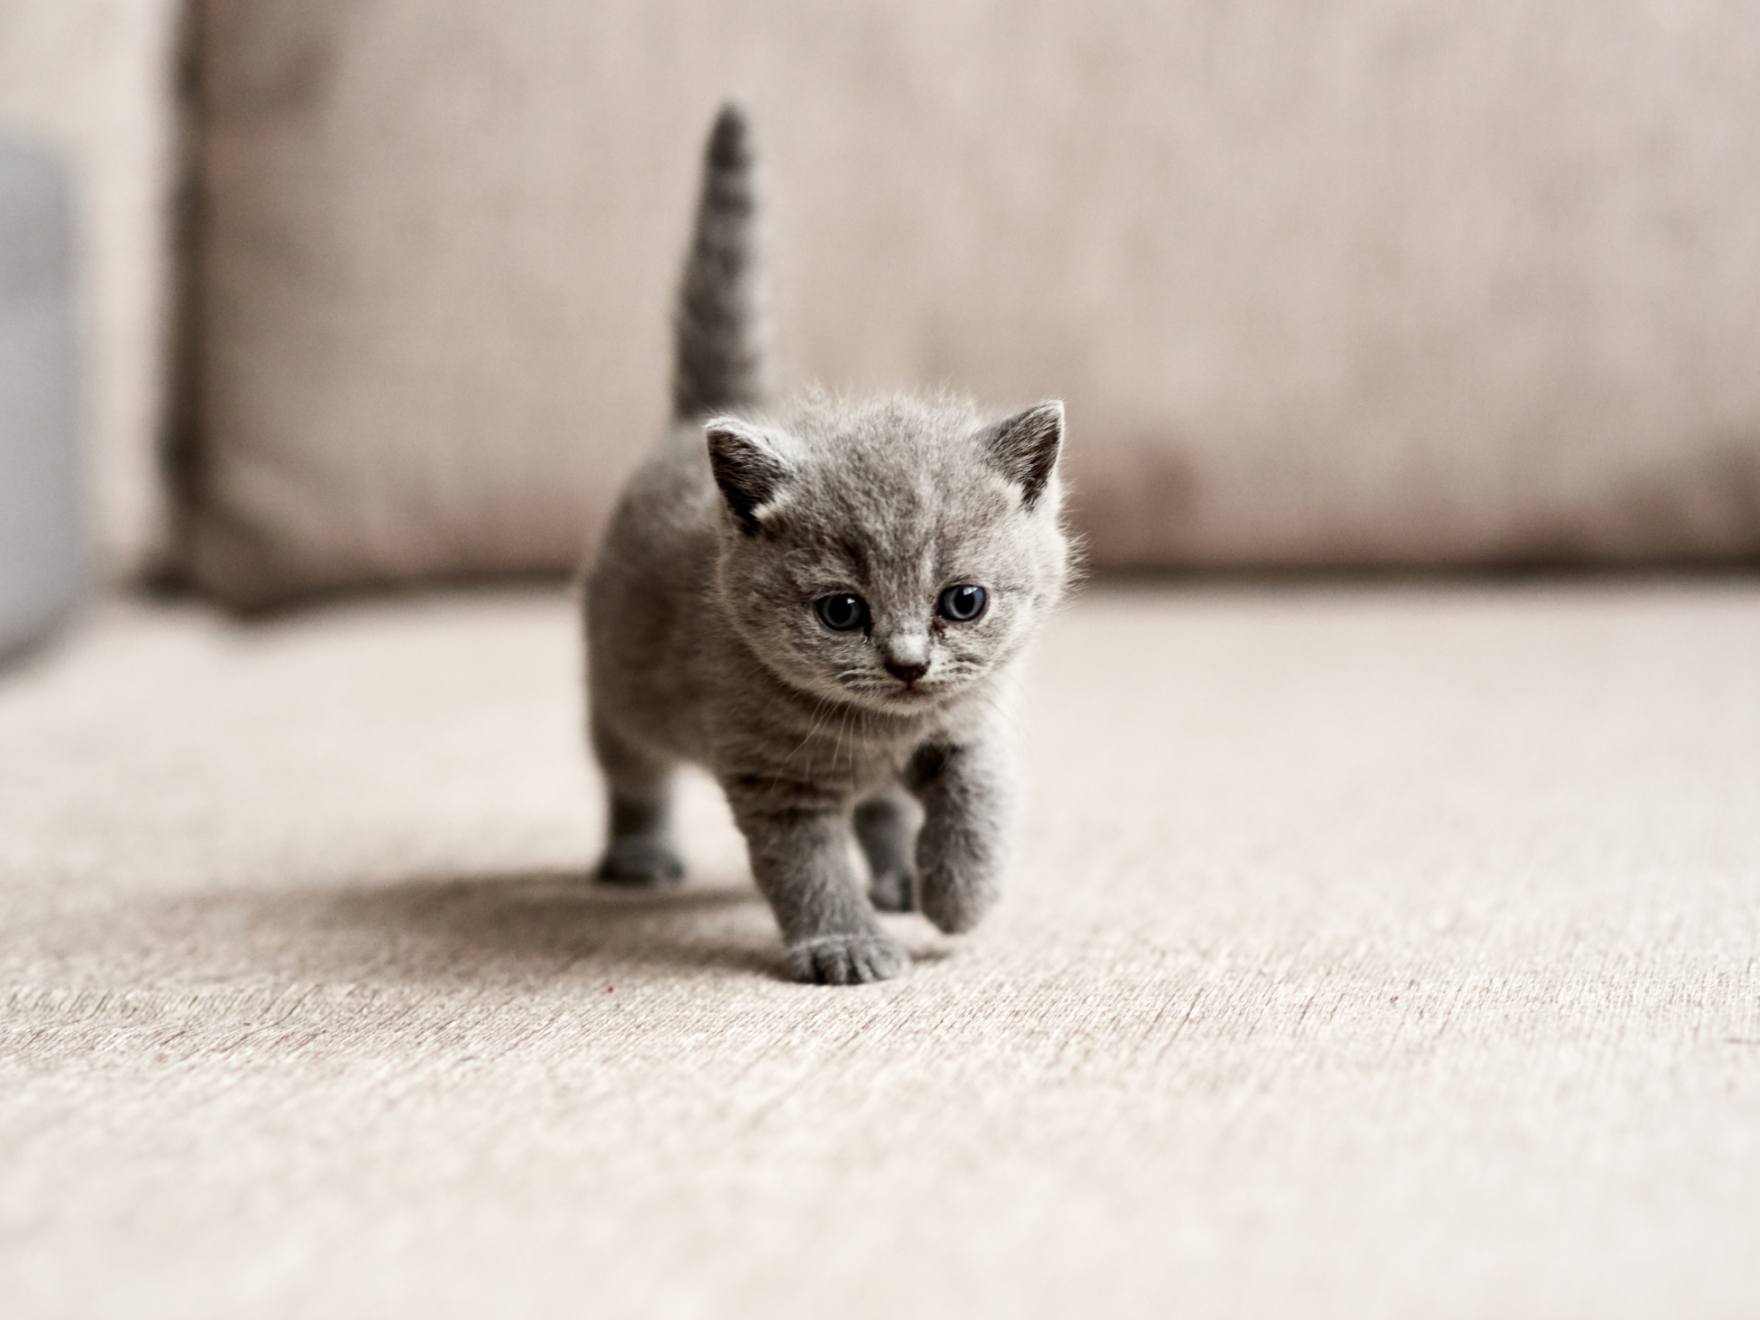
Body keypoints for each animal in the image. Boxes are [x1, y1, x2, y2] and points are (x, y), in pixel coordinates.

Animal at [584, 108, 1063, 985]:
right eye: (841, 611)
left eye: (964, 601)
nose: (908, 663)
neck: (881, 732)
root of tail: (703, 415)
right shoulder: (774, 778)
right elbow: (806, 868)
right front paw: (844, 945)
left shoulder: (970, 720)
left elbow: (980, 797)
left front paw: (957, 897)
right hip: (620, 686)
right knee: (632, 771)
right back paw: (639, 855)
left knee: (880, 806)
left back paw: (904, 877)